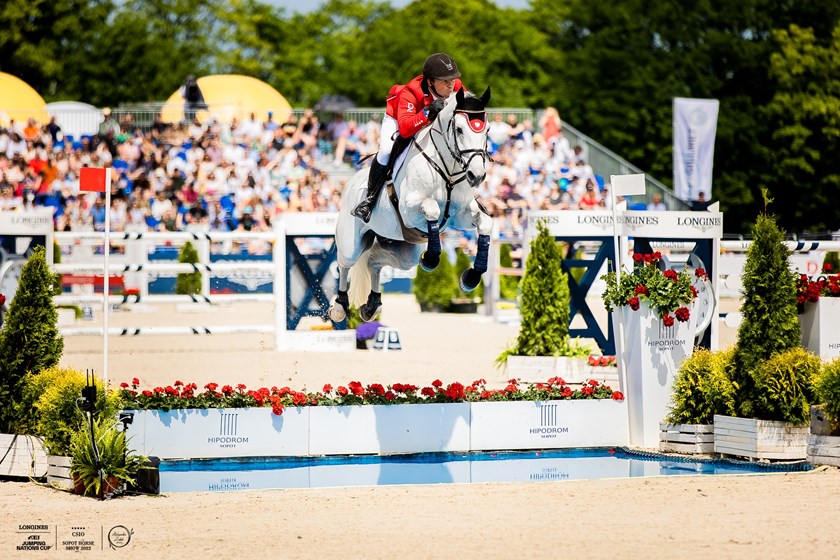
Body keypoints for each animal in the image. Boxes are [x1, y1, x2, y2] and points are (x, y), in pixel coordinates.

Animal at [329, 86, 493, 323]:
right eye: (460, 129)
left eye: (487, 130)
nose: (477, 176)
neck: (448, 170)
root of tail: (350, 182)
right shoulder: (409, 209)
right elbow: (432, 208)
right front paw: (432, 259)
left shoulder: (460, 214)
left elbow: (486, 223)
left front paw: (471, 277)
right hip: (352, 243)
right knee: (344, 264)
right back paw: (340, 307)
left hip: (404, 251)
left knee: (373, 261)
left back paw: (372, 305)